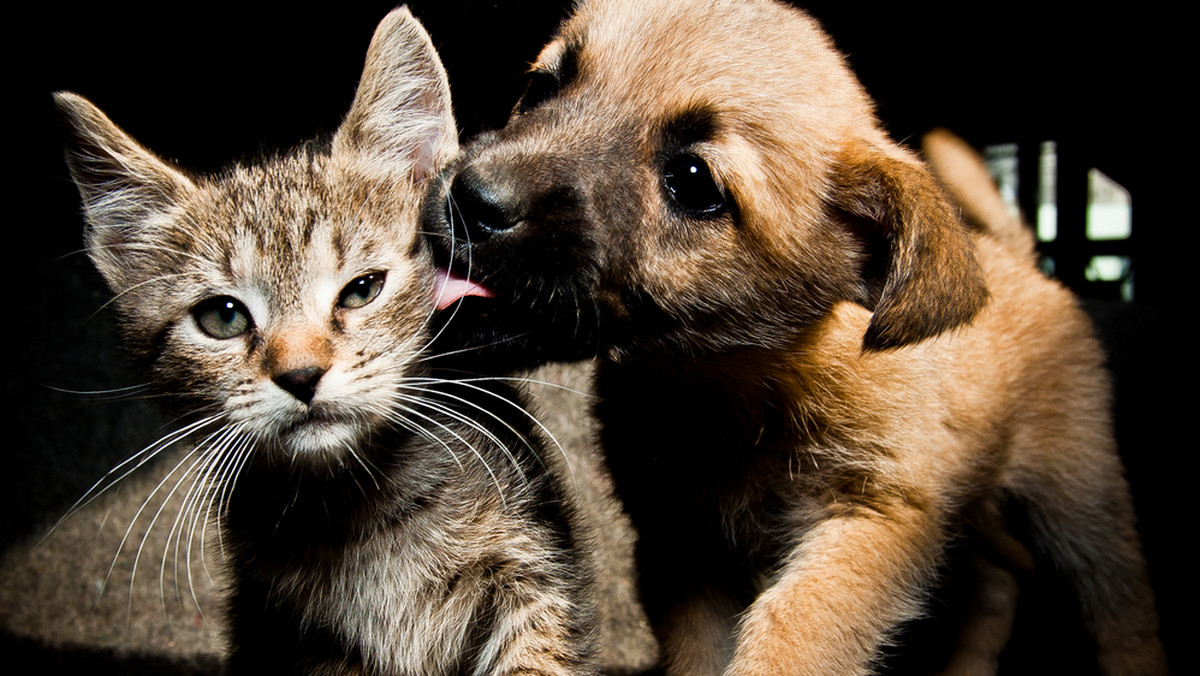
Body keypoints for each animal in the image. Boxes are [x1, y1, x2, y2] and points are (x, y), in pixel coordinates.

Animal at [57, 6, 600, 676]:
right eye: (223, 318)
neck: (360, 507)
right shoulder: (291, 635)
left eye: (363, 289)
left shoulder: (531, 570)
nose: (301, 375)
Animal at [427, 2, 1166, 672]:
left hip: (1078, 502)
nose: (468, 198)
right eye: (543, 86)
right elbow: (700, 655)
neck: (736, 388)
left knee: (1121, 610)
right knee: (995, 587)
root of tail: (1015, 260)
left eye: (692, 181)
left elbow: (793, 629)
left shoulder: (872, 522)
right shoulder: (688, 549)